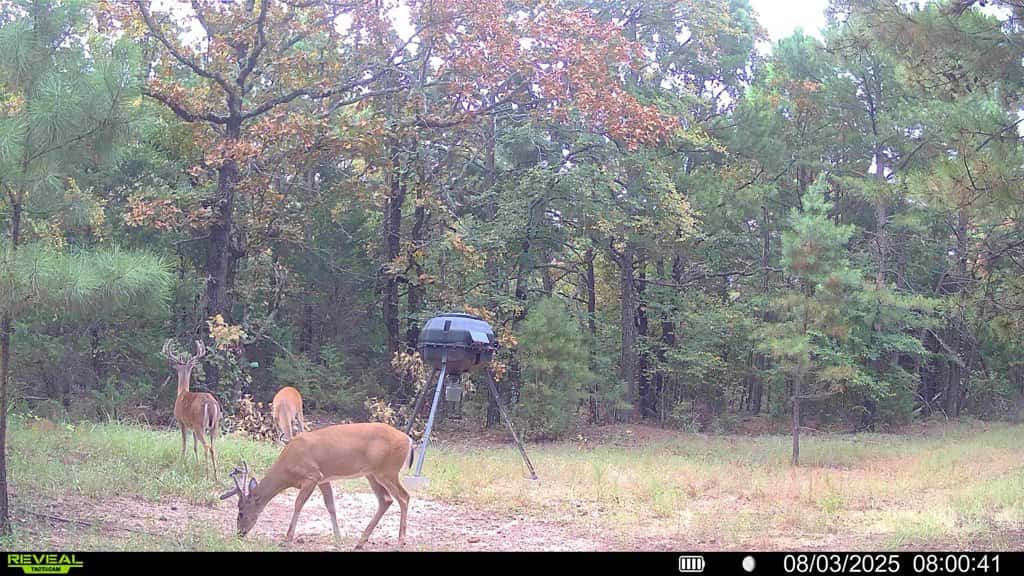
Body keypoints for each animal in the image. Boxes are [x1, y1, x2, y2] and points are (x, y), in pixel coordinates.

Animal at [162, 338, 221, 481]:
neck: (182, 392)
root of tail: (210, 403)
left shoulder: (181, 421)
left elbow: (184, 444)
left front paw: (181, 463)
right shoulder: (192, 426)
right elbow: (194, 447)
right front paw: (197, 465)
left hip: (200, 425)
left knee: (206, 446)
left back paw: (207, 475)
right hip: (214, 425)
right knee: (213, 447)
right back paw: (216, 476)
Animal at [219, 422, 416, 549]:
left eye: (240, 512)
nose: (239, 533)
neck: (287, 469)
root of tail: (408, 440)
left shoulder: (312, 476)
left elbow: (298, 504)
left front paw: (287, 539)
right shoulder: (324, 479)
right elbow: (330, 506)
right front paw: (338, 539)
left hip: (387, 471)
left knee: (404, 497)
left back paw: (400, 541)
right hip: (372, 474)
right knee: (386, 500)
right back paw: (360, 542)